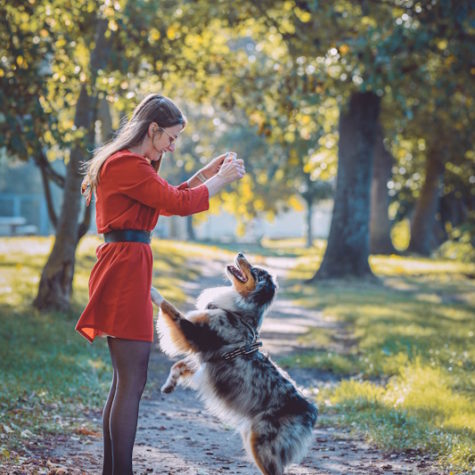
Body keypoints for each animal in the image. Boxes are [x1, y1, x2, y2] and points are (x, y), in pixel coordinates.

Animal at [151, 253, 318, 475]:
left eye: (256, 272)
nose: (240, 254)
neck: (239, 311)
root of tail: (311, 411)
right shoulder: (209, 358)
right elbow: (178, 365)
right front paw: (168, 385)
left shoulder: (195, 332)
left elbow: (168, 306)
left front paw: (152, 290)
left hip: (261, 444)